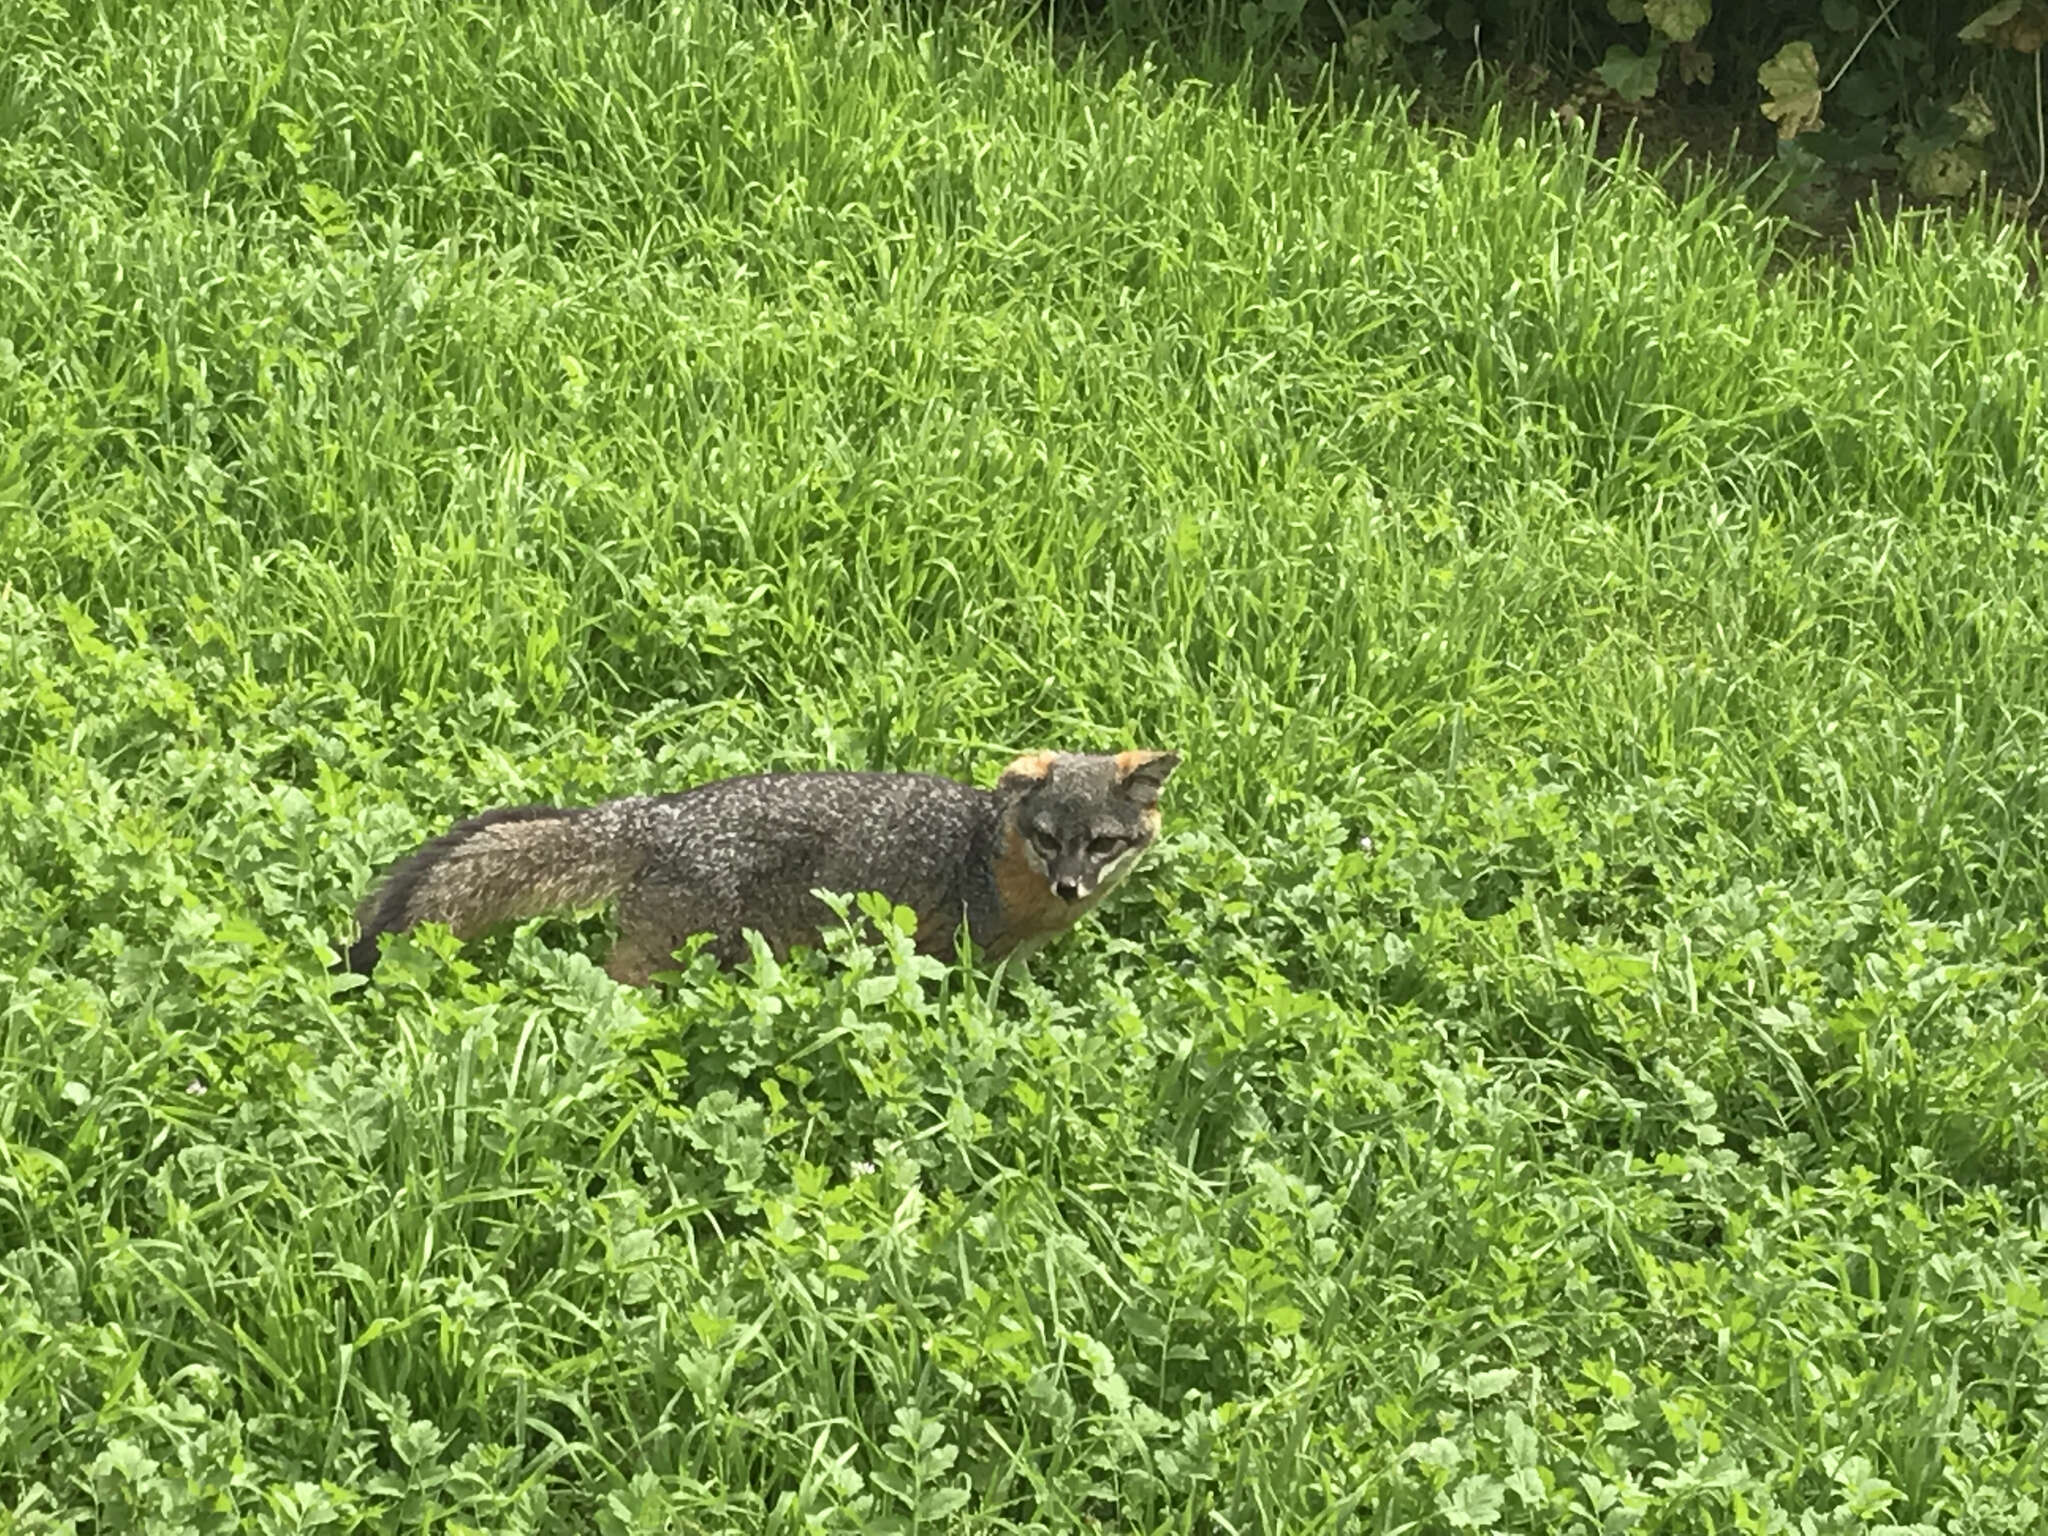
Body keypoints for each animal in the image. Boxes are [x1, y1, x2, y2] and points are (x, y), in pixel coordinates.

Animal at [339, 753, 1187, 991]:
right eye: (1048, 839)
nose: (1071, 884)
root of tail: (658, 813)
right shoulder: (957, 955)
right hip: (661, 960)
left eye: (1100, 844)